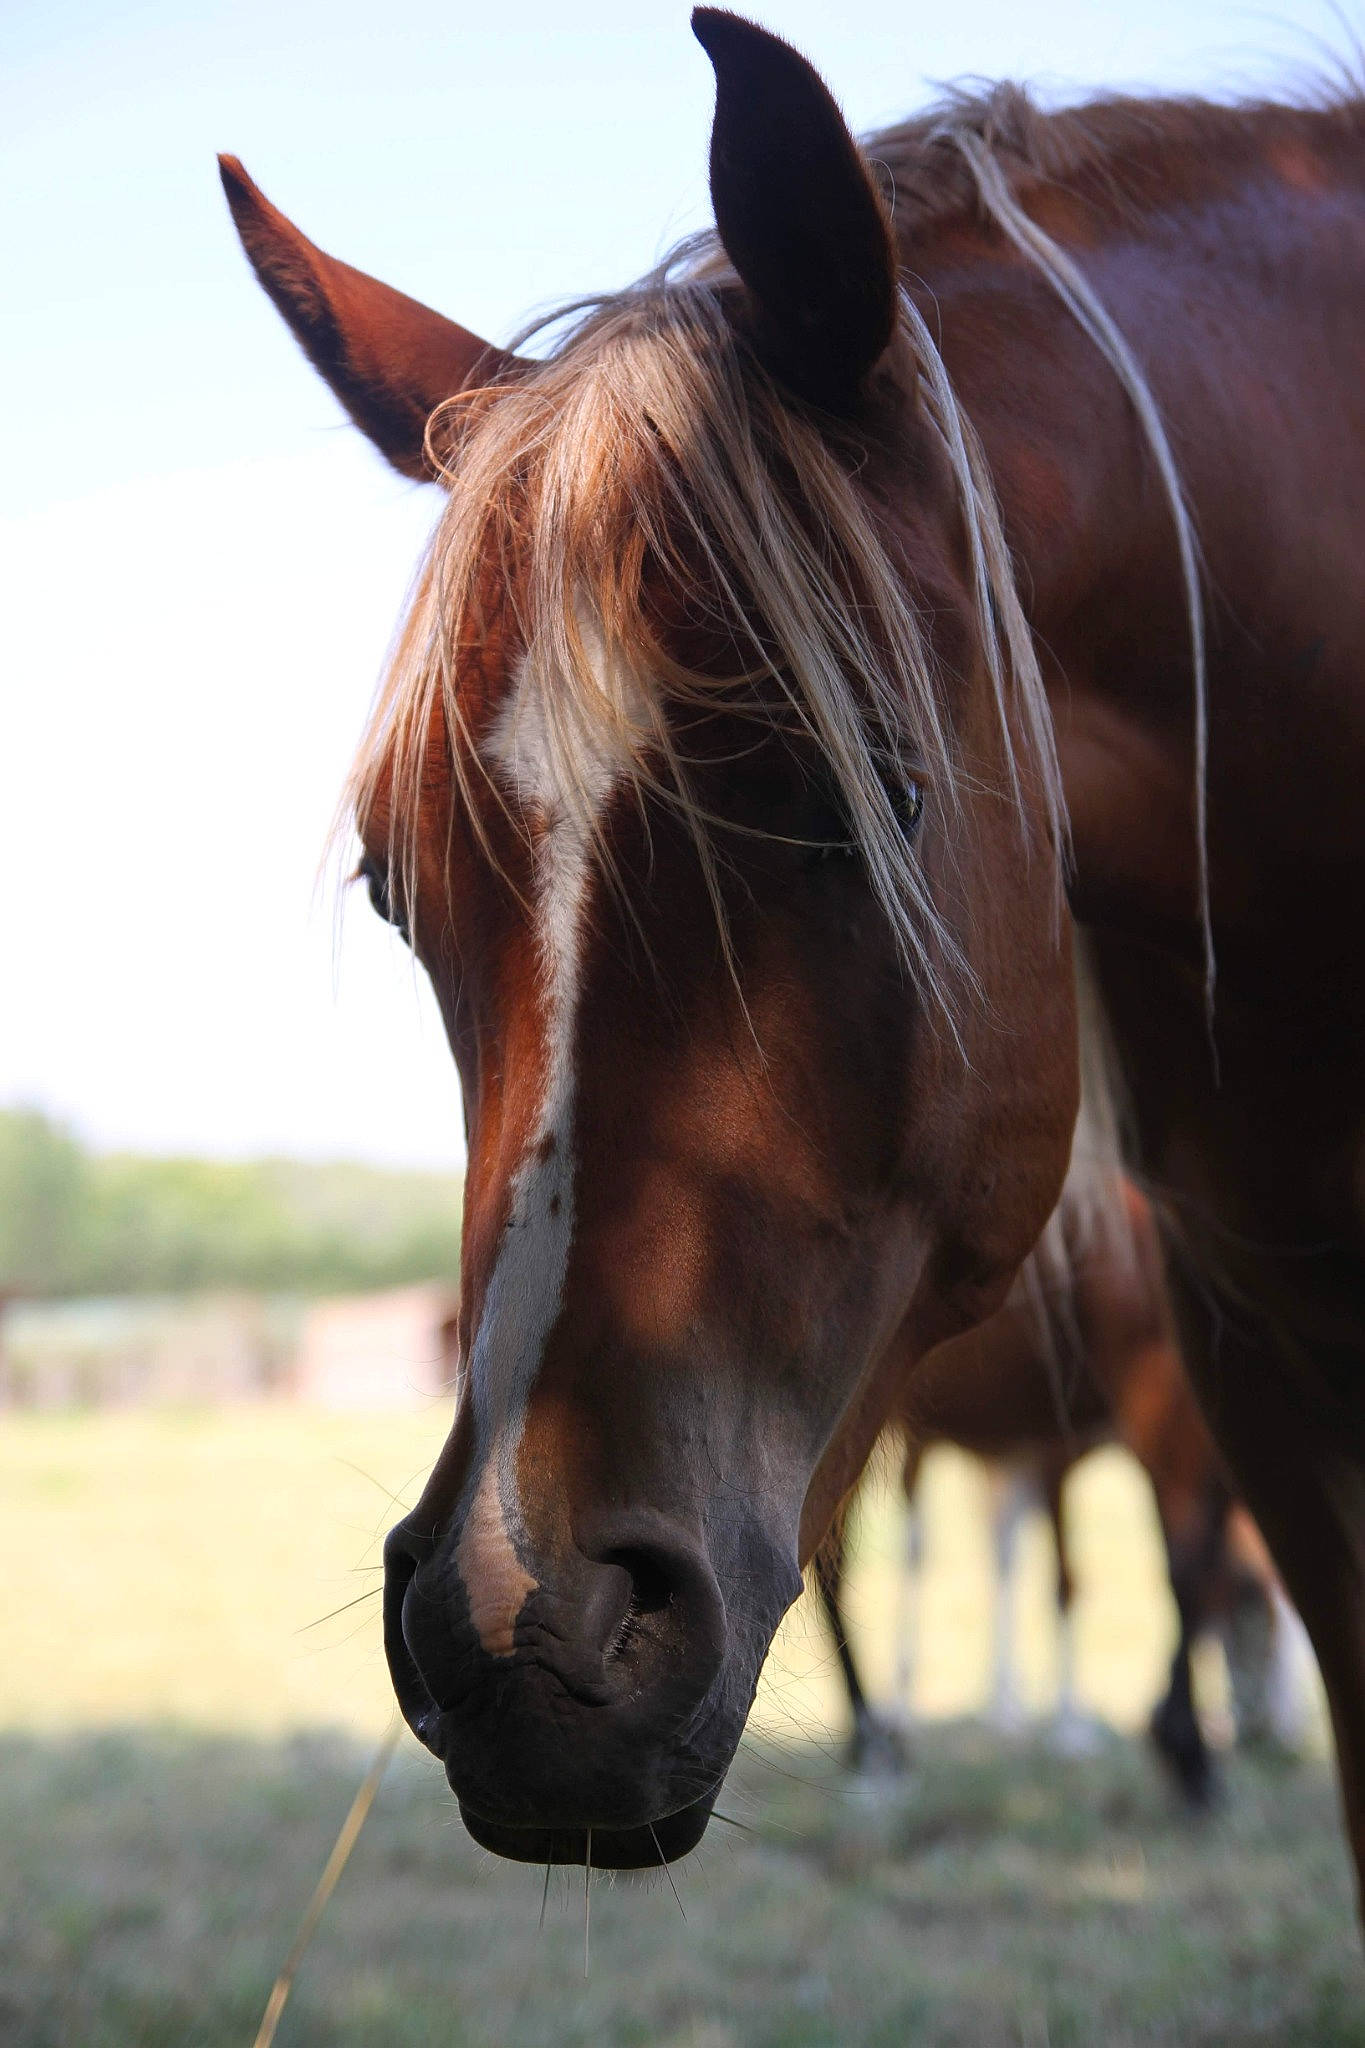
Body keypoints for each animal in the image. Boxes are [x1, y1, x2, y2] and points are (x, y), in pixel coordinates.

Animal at [815, 1172, 1301, 1803]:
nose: (1263, 1733)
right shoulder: (1156, 1414)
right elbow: (1182, 1573)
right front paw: (1183, 1749)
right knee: (832, 1571)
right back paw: (875, 1743)